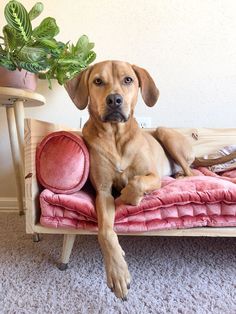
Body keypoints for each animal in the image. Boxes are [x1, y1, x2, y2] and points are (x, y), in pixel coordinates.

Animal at [65, 60, 195, 300]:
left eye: (128, 80)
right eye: (98, 81)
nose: (114, 100)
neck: (115, 136)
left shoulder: (153, 177)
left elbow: (136, 182)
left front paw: (127, 195)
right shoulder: (103, 192)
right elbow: (106, 232)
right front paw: (117, 272)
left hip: (165, 133)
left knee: (192, 172)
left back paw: (182, 176)